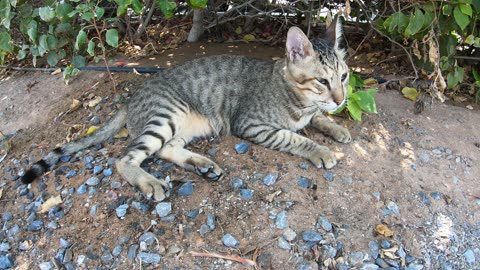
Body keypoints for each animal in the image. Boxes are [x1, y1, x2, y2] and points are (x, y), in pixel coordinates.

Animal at [21, 16, 348, 201]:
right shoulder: (252, 124)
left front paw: (336, 128)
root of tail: (131, 99)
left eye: (344, 77)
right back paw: (150, 182)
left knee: (166, 149)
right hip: (166, 115)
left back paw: (203, 165)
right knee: (125, 158)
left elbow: (318, 118)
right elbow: (294, 137)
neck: (297, 97)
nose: (341, 99)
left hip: (185, 125)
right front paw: (321, 150)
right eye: (322, 81)